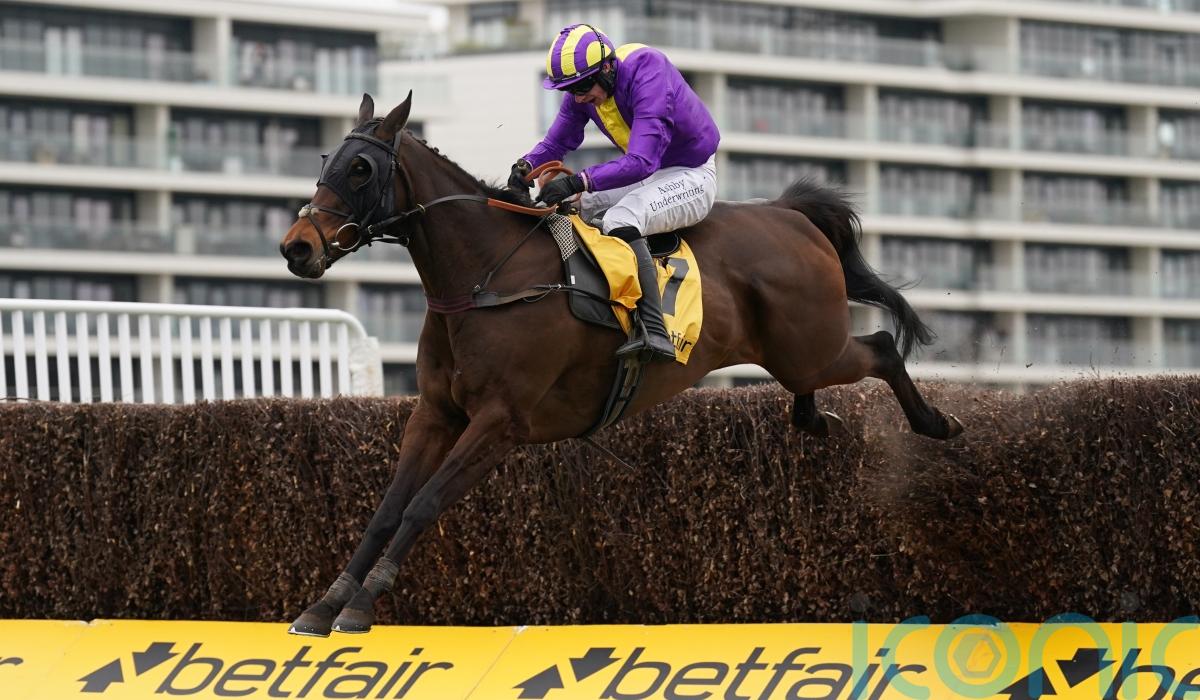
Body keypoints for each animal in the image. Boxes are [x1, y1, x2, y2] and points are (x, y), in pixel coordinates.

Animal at [278, 93, 962, 636]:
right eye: (325, 160)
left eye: (361, 168)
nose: (296, 248)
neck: (485, 279)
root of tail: (790, 214)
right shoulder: (436, 413)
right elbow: (386, 510)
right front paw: (324, 604)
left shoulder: (501, 422)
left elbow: (423, 504)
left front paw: (362, 605)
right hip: (796, 352)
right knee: (824, 377)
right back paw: (816, 419)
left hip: (813, 343)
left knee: (880, 346)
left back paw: (937, 424)